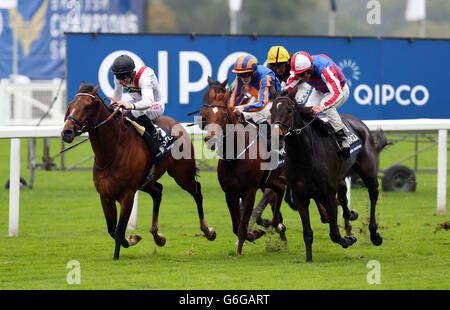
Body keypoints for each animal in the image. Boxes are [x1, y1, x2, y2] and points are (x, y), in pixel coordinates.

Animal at [61, 82, 216, 260]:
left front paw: (117, 255)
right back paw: (158, 236)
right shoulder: (105, 195)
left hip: (182, 174)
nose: (66, 132)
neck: (111, 153)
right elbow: (111, 229)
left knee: (197, 191)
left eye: (87, 106)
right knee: (158, 192)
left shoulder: (127, 194)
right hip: (146, 181)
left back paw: (208, 231)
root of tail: (176, 123)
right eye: (70, 105)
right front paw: (132, 239)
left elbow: (119, 230)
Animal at [199, 78, 286, 254]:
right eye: (208, 115)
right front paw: (255, 233)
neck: (235, 155)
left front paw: (240, 251)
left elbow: (242, 226)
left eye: (224, 115)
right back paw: (278, 225)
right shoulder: (229, 192)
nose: (210, 139)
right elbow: (236, 225)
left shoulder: (249, 191)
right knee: (279, 190)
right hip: (270, 180)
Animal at [270, 87, 386, 262]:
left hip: (368, 171)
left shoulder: (327, 195)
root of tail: (359, 123)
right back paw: (351, 214)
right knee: (344, 190)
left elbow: (334, 234)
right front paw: (309, 259)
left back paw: (374, 234)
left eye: (289, 110)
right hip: (340, 176)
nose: (277, 137)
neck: (306, 157)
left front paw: (349, 239)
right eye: (271, 110)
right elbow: (307, 233)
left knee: (373, 193)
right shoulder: (300, 196)